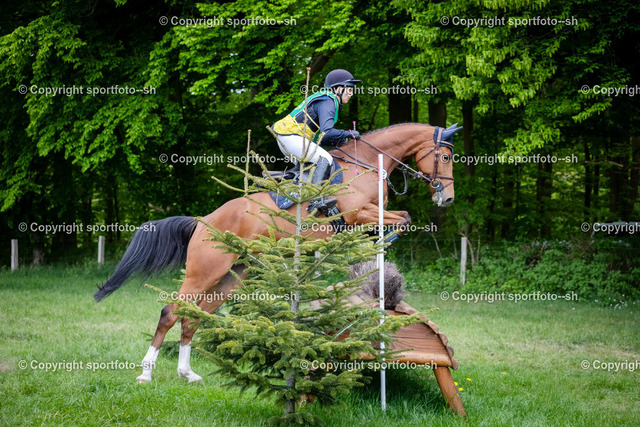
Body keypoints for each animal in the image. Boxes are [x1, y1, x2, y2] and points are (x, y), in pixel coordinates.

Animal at [94, 122, 461, 383]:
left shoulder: (371, 215)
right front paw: (380, 248)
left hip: (231, 276)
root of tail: (202, 222)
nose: (447, 199)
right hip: (203, 271)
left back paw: (187, 374)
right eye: (445, 157)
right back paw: (146, 373)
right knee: (171, 311)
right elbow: (401, 220)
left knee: (194, 317)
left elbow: (403, 218)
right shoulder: (358, 214)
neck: (368, 164)